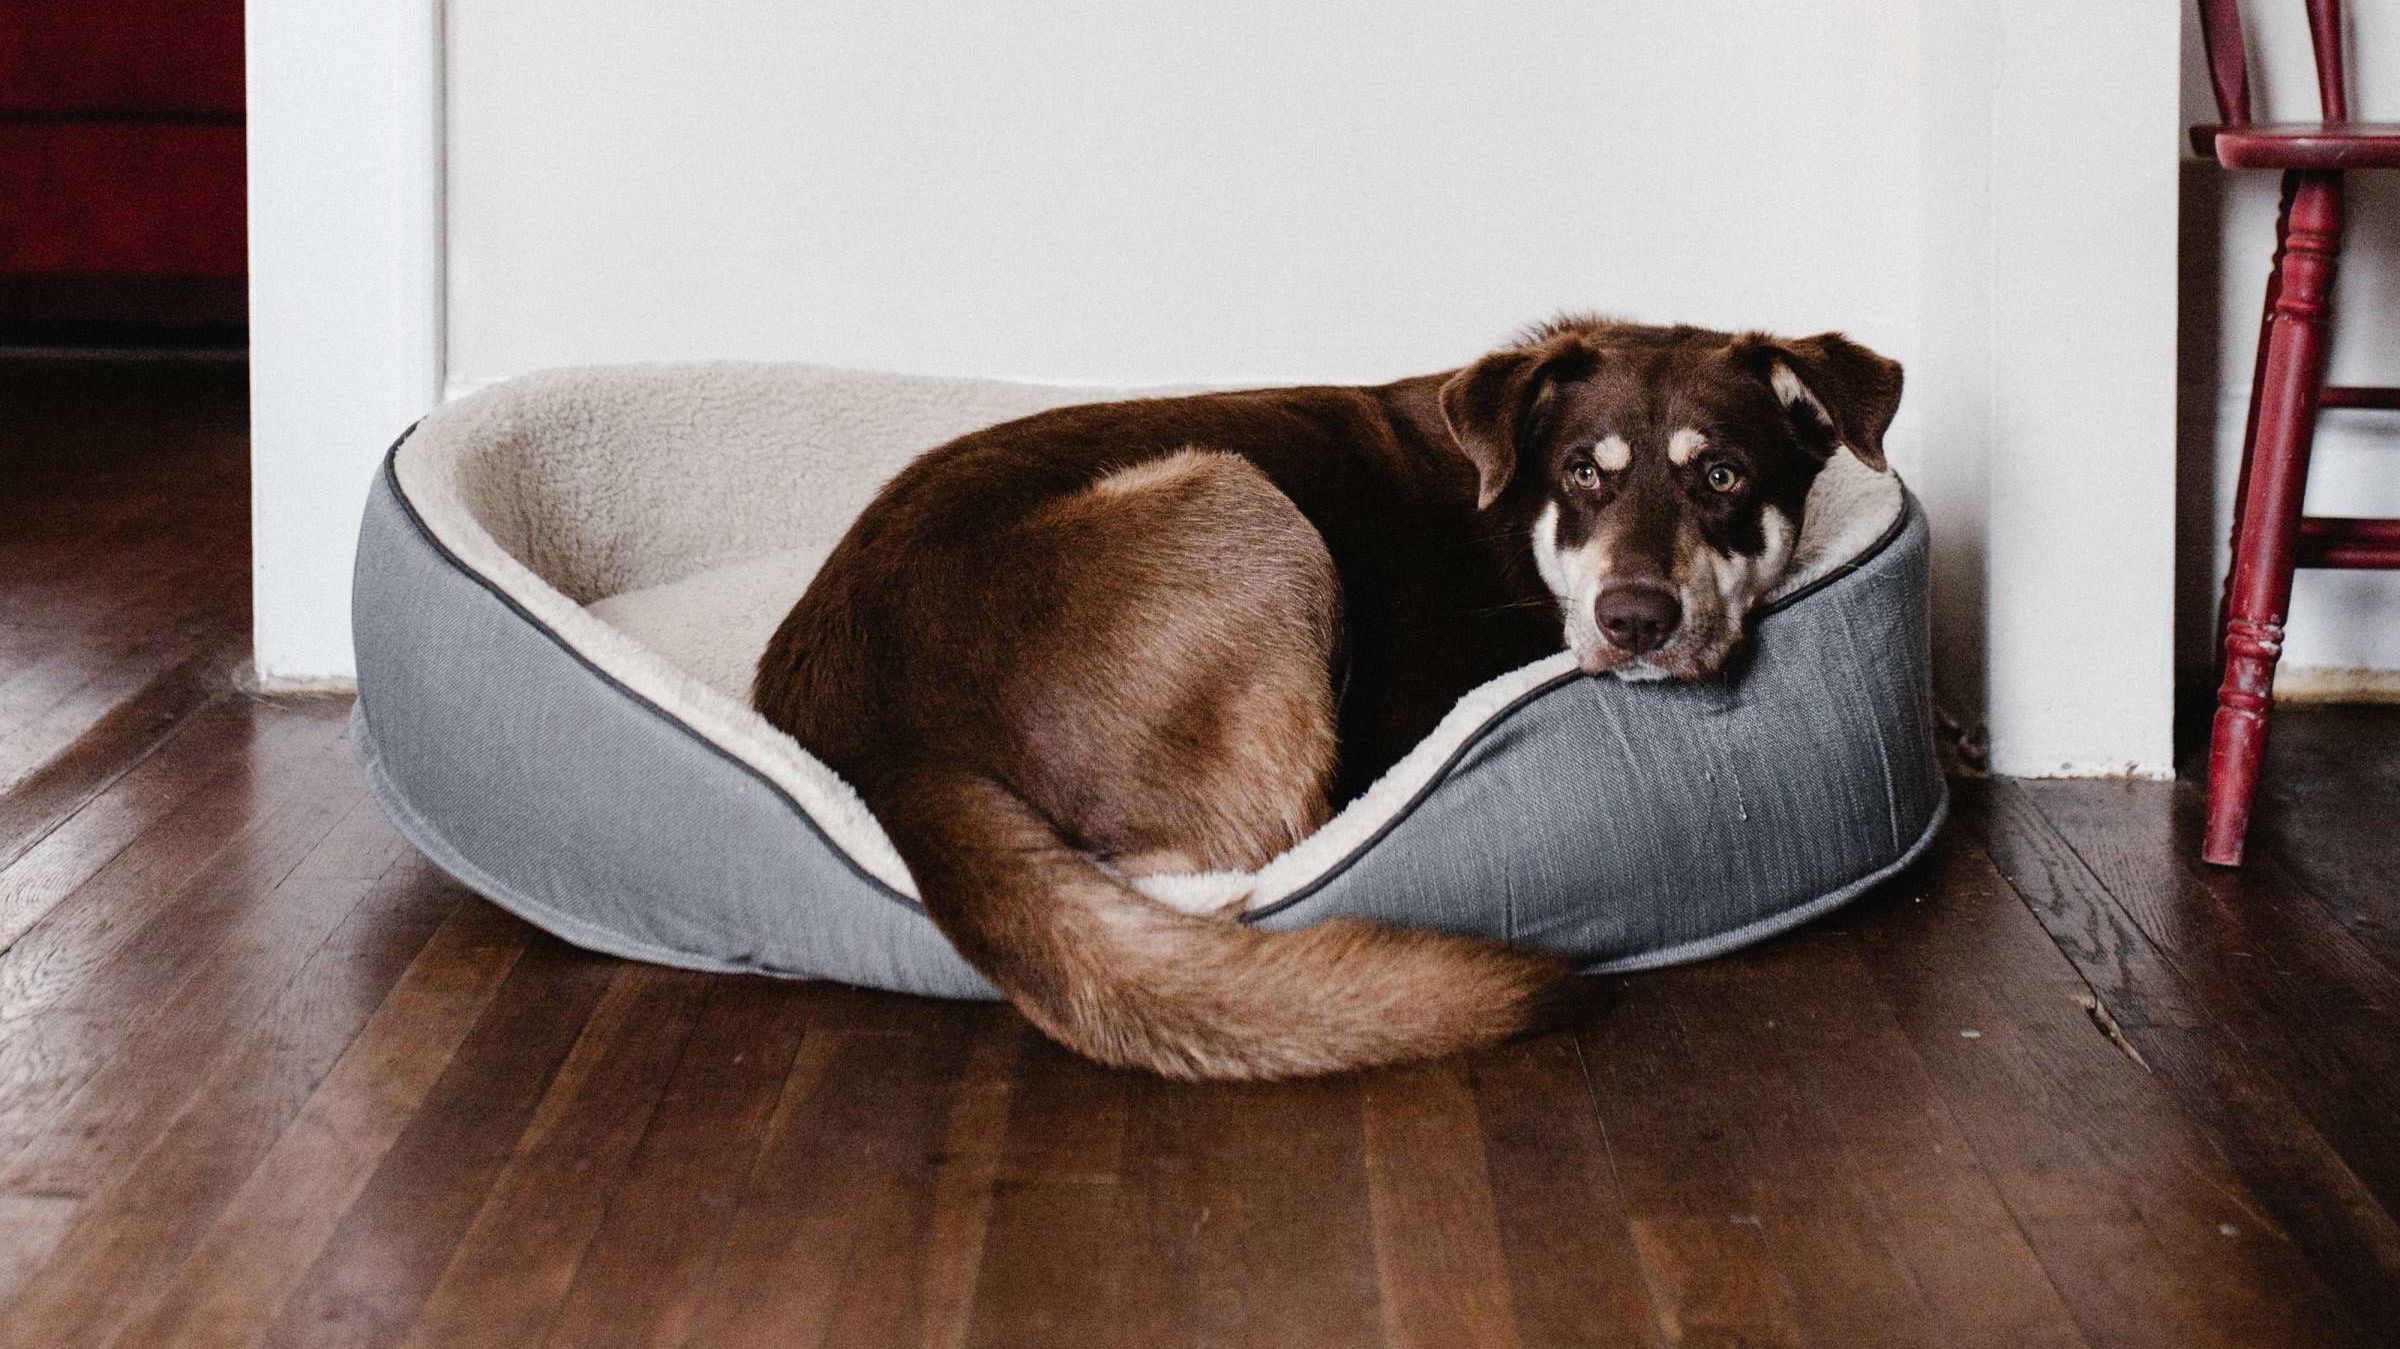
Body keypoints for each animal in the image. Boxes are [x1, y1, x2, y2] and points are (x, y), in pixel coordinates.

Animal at [758, 312, 1900, 1070]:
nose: (1635, 619)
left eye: (1723, 475)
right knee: (1248, 854)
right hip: (1244, 500)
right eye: (1584, 471)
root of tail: (880, 741)